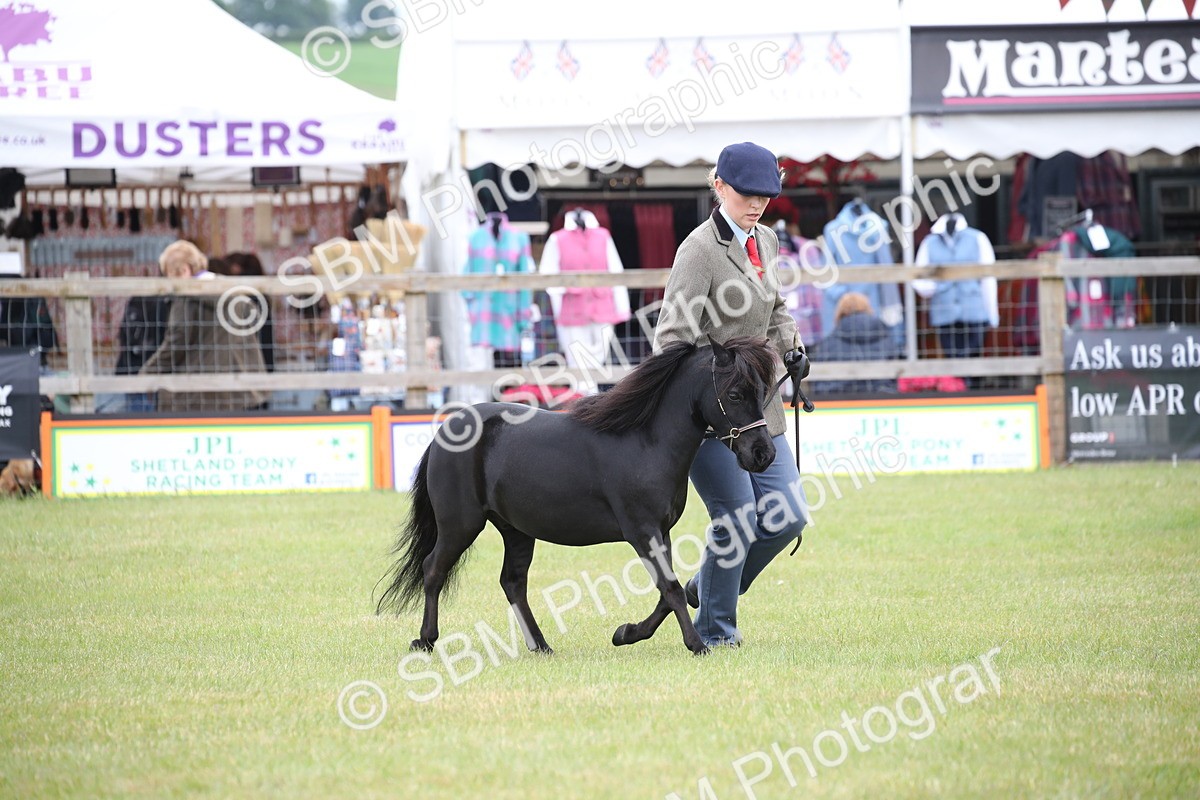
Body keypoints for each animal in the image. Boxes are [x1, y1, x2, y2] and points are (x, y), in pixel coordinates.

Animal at [375, 335, 780, 656]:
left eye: (762, 391)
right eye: (734, 394)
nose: (763, 454)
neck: (645, 440)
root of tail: (446, 431)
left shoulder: (660, 531)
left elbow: (671, 591)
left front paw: (626, 633)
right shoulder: (642, 531)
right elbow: (671, 588)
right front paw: (695, 645)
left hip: (515, 530)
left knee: (512, 582)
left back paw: (540, 645)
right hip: (460, 524)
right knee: (433, 569)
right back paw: (426, 640)